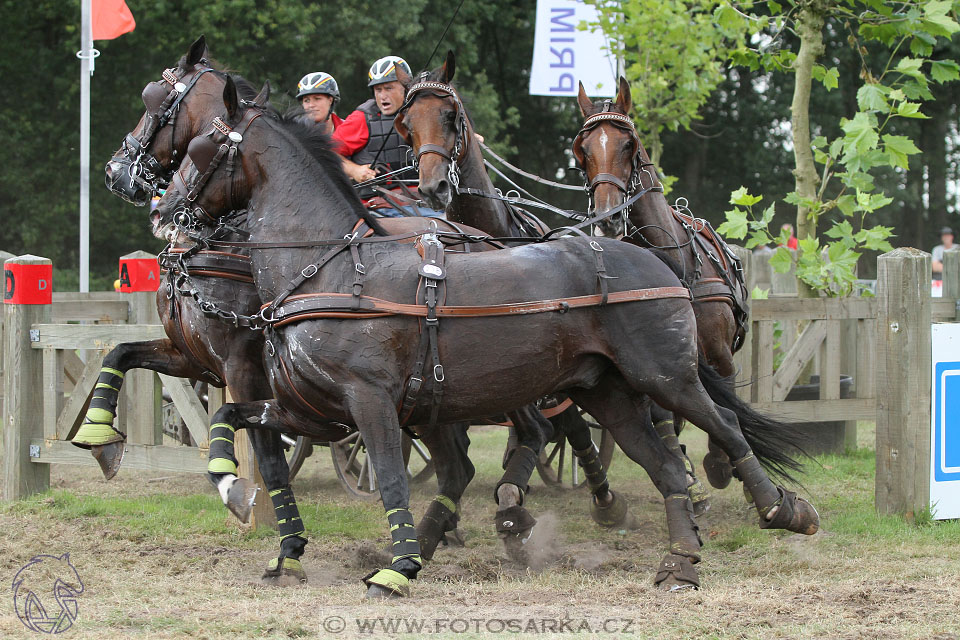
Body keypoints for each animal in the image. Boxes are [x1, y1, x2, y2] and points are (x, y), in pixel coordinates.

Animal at [572, 79, 752, 490]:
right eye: (583, 151)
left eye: (629, 144)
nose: (607, 218)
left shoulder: (717, 355)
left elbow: (724, 401)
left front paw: (721, 463)